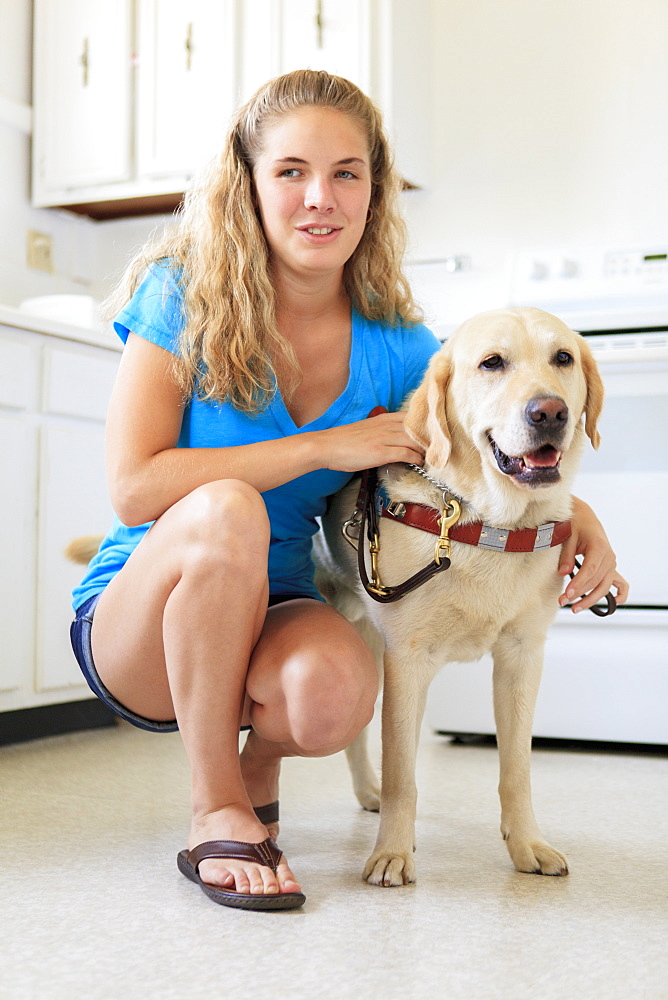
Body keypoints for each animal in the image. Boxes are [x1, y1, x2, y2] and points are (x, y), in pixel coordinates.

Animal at [314, 304, 604, 884]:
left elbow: (516, 769)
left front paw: (527, 844)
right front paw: (392, 853)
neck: (485, 522)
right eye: (491, 363)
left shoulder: (521, 657)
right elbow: (404, 774)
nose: (550, 412)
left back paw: (367, 793)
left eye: (563, 357)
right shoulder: (408, 662)